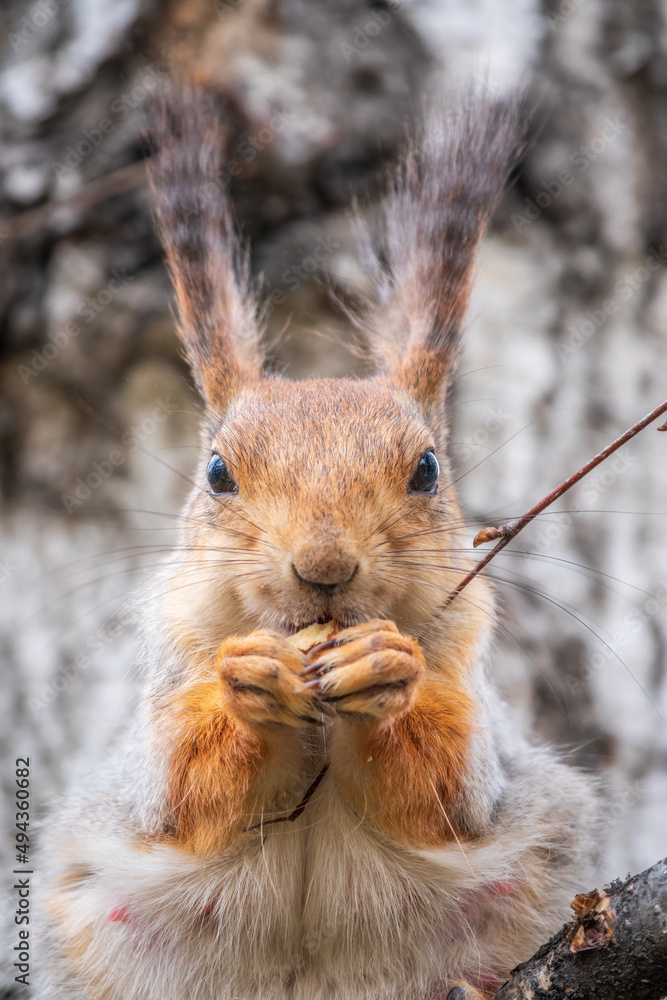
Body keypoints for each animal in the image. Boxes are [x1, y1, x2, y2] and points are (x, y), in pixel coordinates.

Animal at [34, 87, 598, 1000]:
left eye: (427, 469)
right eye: (218, 472)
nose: (324, 566)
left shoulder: (471, 681)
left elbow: (452, 791)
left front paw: (387, 668)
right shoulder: (163, 688)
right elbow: (177, 789)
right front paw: (249, 676)